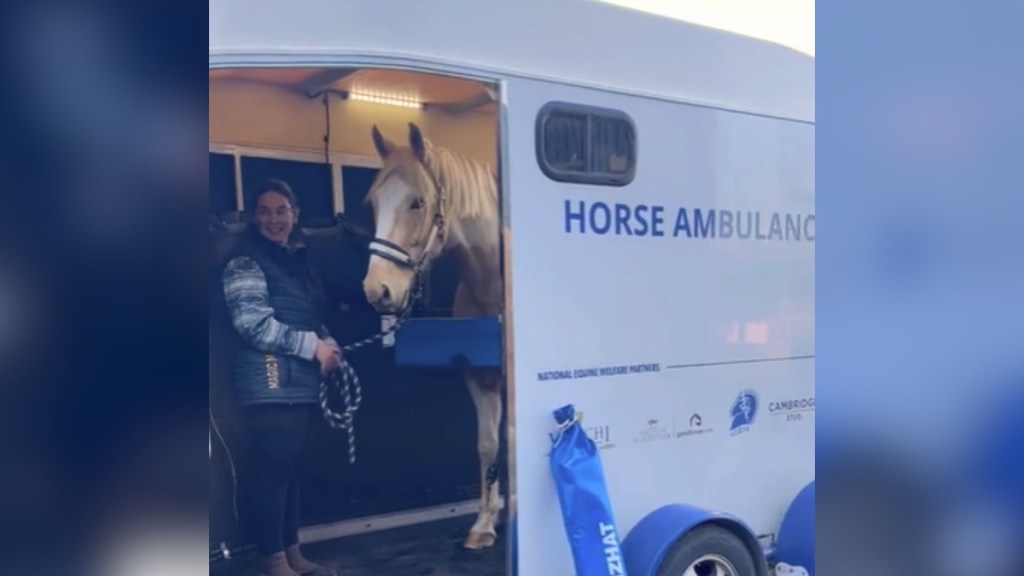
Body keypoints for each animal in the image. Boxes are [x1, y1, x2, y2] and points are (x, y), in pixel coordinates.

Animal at [364, 121, 503, 545]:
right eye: (372, 202)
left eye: (418, 202)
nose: (378, 289)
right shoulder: (479, 375)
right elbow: (488, 445)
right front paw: (485, 523)